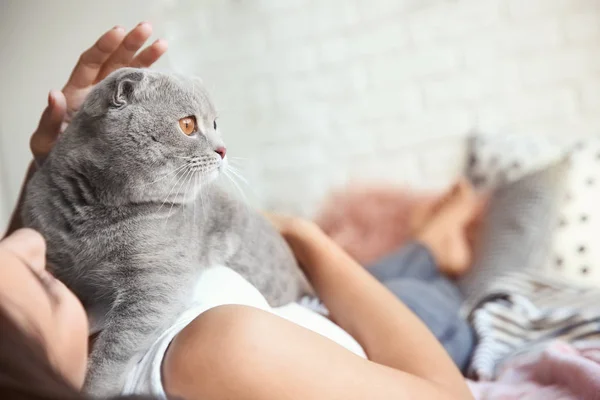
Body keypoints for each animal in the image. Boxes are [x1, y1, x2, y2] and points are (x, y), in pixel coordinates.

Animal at [22, 67, 308, 396]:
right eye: (188, 125)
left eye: (215, 124)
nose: (223, 149)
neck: (94, 214)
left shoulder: (156, 286)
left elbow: (115, 348)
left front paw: (91, 387)